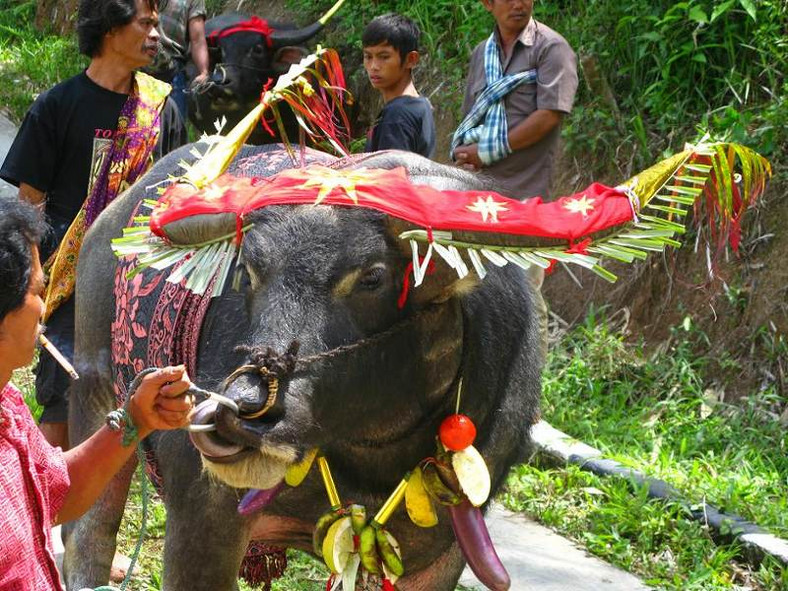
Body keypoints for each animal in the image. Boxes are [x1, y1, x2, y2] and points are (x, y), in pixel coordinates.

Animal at [63, 145, 540, 591]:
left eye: (373, 277)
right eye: (248, 270)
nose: (240, 412)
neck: (372, 460)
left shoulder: (439, 559)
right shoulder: (202, 515)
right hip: (94, 384)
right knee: (85, 537)